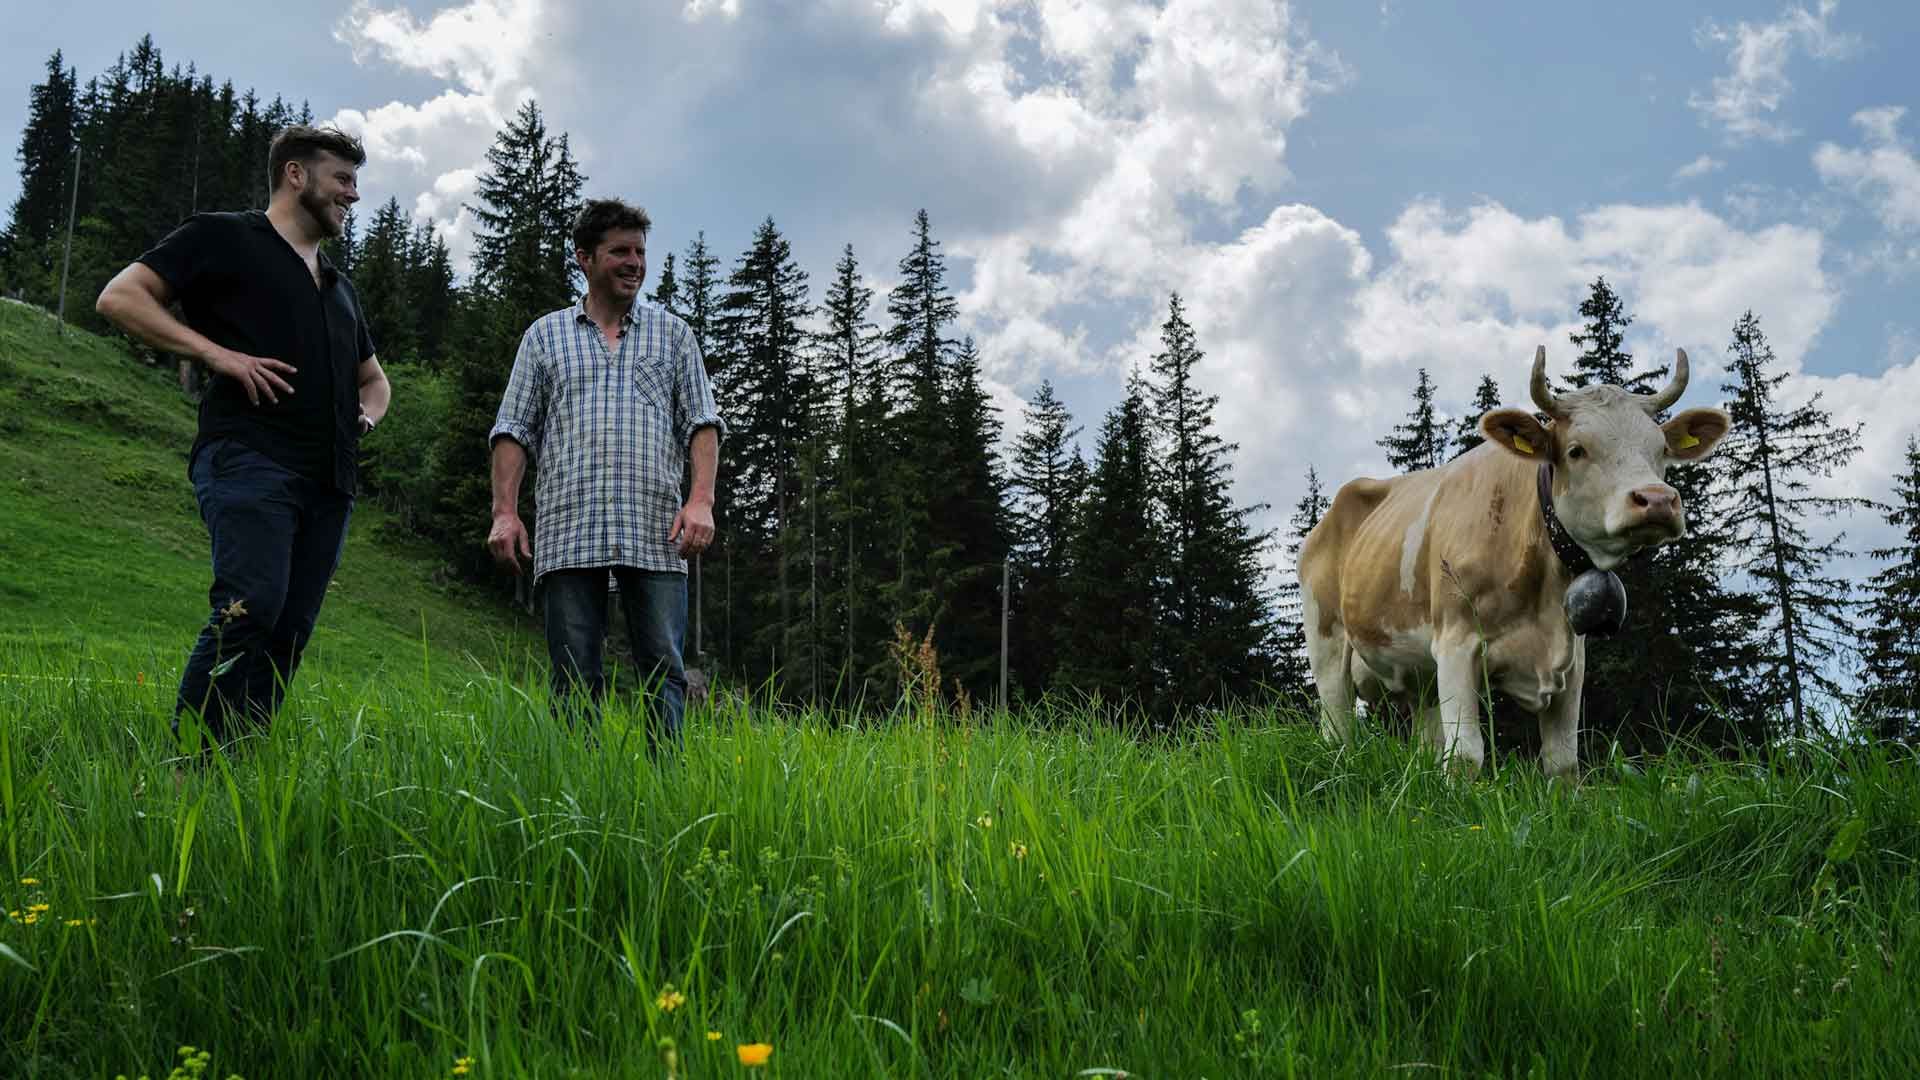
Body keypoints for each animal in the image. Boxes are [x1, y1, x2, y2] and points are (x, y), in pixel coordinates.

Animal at [1297, 343, 1735, 772]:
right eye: (1576, 450)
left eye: (1660, 449)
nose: (1657, 500)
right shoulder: (1455, 644)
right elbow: (1465, 755)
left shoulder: (1572, 661)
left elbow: (1562, 764)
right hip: (1327, 645)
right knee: (1337, 730)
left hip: (1420, 677)